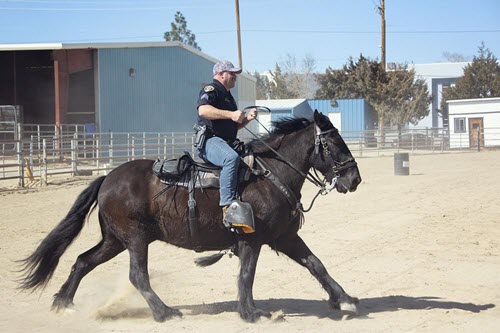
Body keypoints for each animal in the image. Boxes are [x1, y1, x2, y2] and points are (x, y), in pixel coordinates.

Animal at [19, 111, 362, 322]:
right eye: (332, 142)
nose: (354, 178)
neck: (269, 174)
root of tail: (107, 178)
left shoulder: (285, 237)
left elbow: (316, 264)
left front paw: (344, 298)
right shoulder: (252, 241)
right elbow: (246, 275)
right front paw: (250, 313)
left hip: (115, 240)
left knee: (82, 261)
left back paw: (63, 303)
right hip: (135, 239)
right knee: (137, 275)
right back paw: (164, 312)